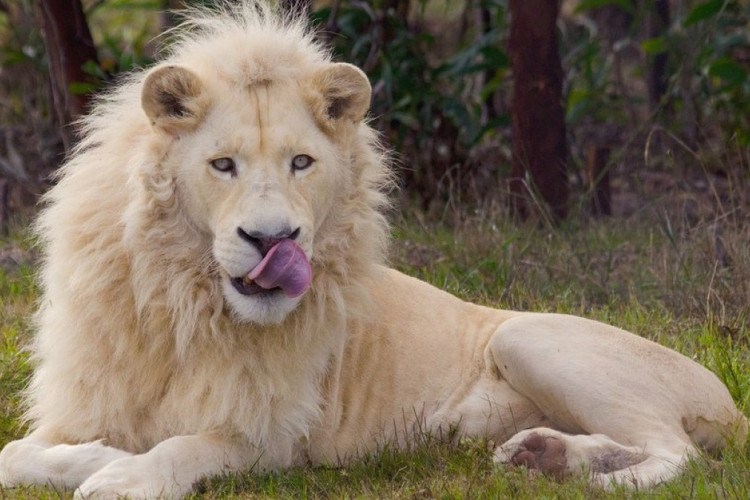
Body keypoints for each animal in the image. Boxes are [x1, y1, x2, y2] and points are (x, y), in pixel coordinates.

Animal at [0, 1, 748, 498]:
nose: (273, 240)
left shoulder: (274, 439)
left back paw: (583, 475)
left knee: (680, 455)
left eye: (302, 163)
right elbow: (16, 452)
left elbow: (186, 445)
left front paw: (120, 474)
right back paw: (543, 455)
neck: (185, 299)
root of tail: (729, 401)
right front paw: (94, 457)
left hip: (528, 338)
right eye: (222, 165)